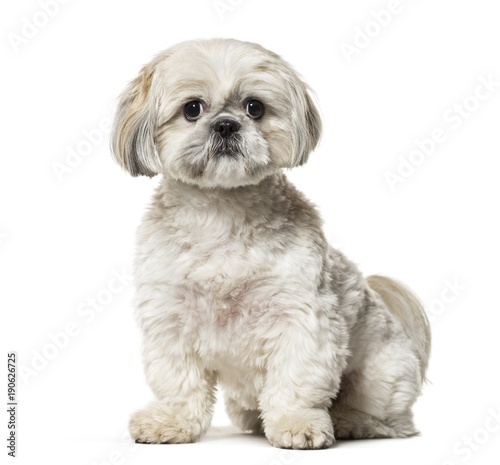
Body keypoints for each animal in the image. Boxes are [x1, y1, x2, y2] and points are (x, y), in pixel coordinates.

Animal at [110, 40, 430, 450]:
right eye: (192, 109)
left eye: (255, 107)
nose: (226, 124)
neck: (222, 215)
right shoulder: (170, 316)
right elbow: (178, 381)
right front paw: (172, 421)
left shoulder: (301, 316)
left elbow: (297, 378)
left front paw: (297, 423)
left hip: (381, 377)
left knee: (390, 420)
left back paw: (348, 420)